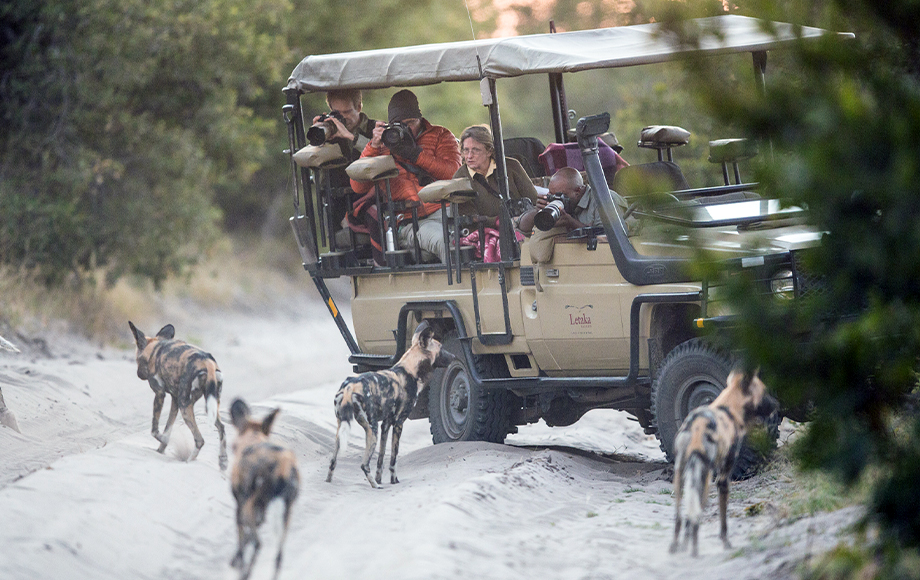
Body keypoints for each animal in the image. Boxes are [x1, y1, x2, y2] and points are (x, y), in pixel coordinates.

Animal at [128, 322, 227, 472]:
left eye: (137, 359)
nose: (139, 374)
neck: (154, 349)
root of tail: (207, 361)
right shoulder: (174, 401)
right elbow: (168, 427)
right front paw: (160, 450)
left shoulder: (160, 394)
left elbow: (155, 431)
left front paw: (164, 441)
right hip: (208, 406)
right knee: (221, 428)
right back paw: (223, 462)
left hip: (185, 406)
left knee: (200, 440)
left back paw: (189, 461)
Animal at [229, 396, 298, 580]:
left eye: (233, 447)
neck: (253, 438)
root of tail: (281, 464)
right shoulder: (260, 511)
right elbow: (245, 539)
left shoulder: (241, 508)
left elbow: (242, 541)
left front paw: (237, 562)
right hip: (286, 513)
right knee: (279, 557)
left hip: (249, 508)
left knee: (258, 544)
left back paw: (245, 573)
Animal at [328, 320, 458, 488]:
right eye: (441, 348)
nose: (454, 356)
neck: (409, 370)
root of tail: (350, 386)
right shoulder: (398, 423)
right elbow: (393, 459)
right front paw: (393, 480)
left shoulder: (386, 423)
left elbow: (381, 458)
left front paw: (379, 478)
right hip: (372, 430)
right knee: (364, 464)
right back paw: (375, 486)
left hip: (343, 429)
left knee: (332, 462)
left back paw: (331, 482)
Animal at [668, 368, 776, 556]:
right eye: (765, 392)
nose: (777, 404)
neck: (728, 408)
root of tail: (697, 426)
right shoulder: (723, 477)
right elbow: (723, 517)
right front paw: (726, 542)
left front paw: (683, 544)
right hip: (703, 476)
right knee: (695, 514)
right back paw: (694, 550)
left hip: (681, 475)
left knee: (680, 516)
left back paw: (677, 546)